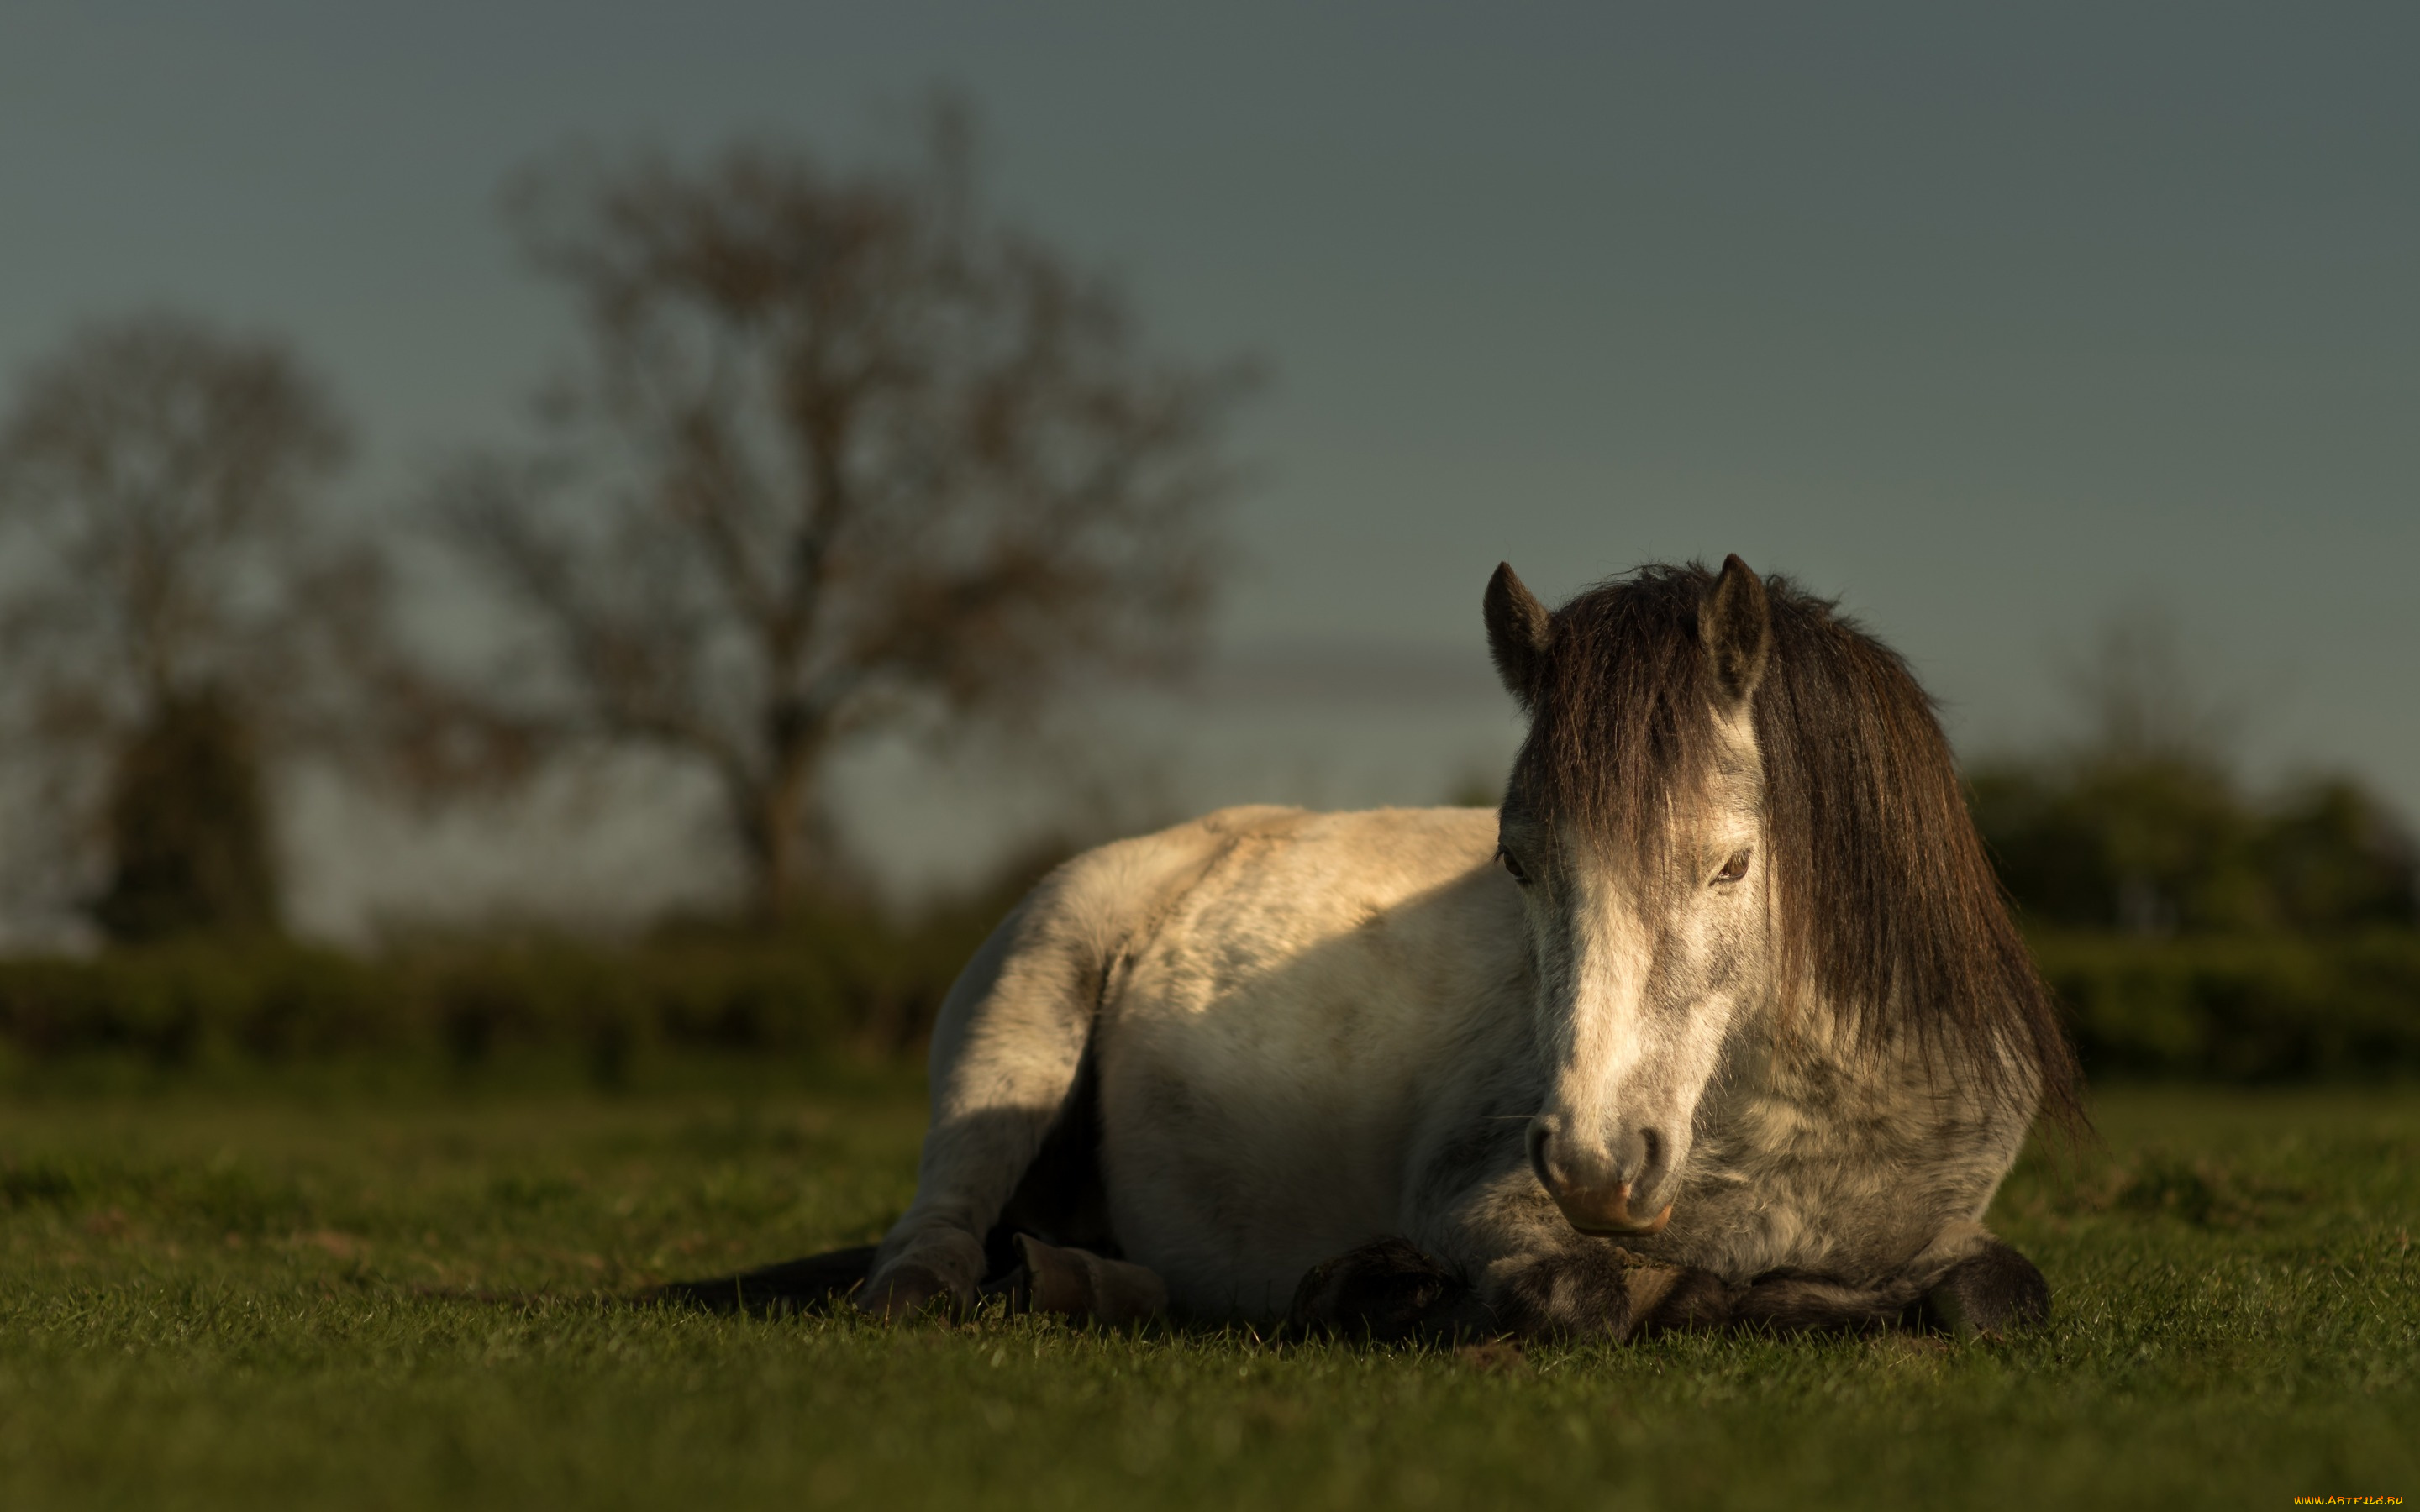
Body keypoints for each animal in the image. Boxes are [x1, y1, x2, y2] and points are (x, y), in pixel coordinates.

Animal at [682, 561, 2081, 1335]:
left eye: (1732, 865)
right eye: (1518, 862)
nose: (1595, 1160)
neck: (1806, 1117)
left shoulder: (1946, 1231)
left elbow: (1996, 1295)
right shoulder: (1477, 1198)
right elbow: (1584, 1296)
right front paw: (1400, 1292)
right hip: (1012, 1040)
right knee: (931, 1250)